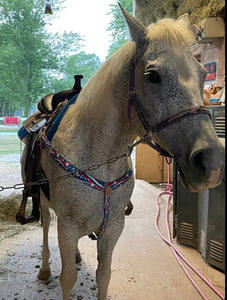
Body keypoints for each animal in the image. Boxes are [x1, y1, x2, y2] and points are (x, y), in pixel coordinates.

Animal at [20, 4, 223, 300]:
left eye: (202, 74)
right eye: (152, 75)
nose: (211, 161)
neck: (99, 158)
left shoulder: (113, 227)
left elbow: (103, 276)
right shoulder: (67, 226)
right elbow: (67, 278)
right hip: (43, 201)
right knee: (46, 225)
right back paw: (45, 268)